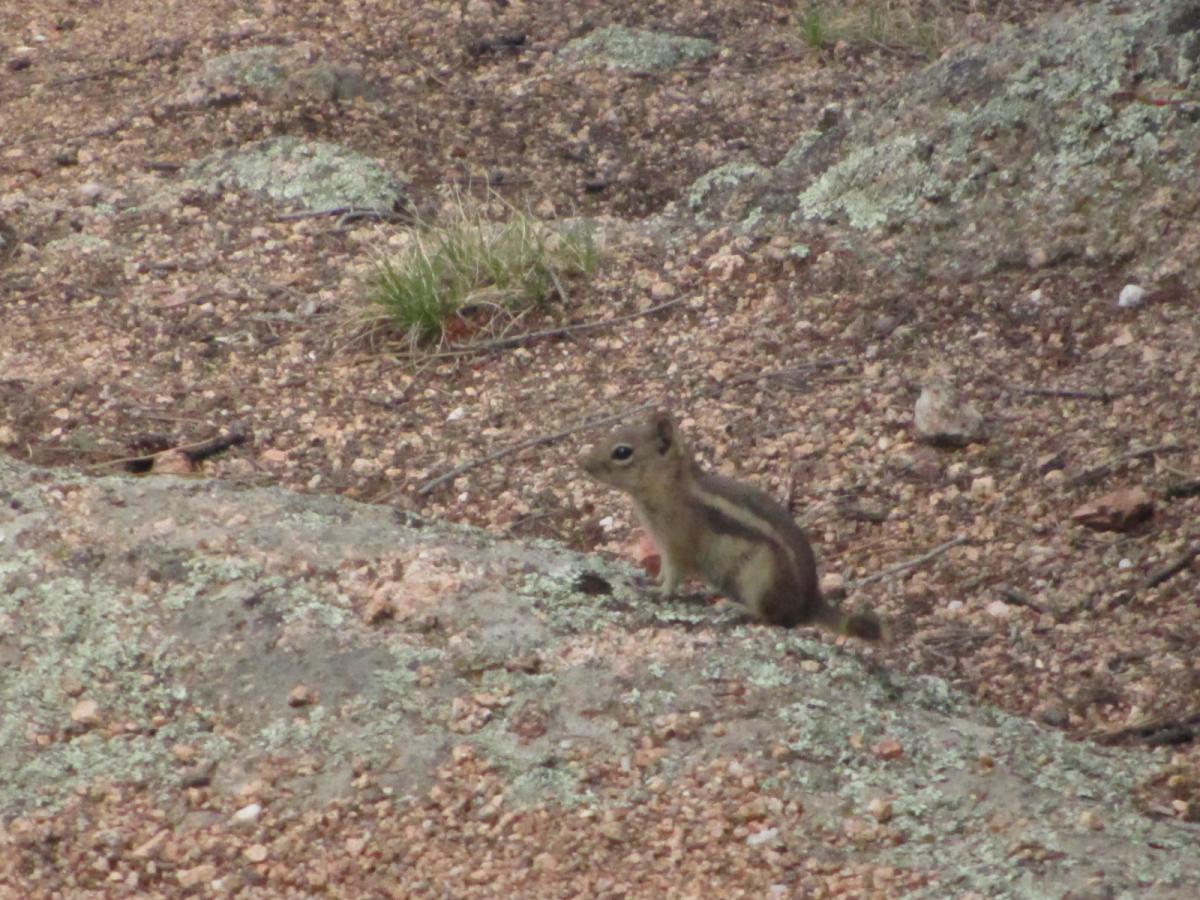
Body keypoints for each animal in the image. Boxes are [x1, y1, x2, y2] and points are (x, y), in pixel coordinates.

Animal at [581, 410, 883, 641]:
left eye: (622, 452)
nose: (582, 464)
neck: (673, 489)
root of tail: (809, 602)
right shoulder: (663, 545)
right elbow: (664, 569)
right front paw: (648, 580)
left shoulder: (678, 545)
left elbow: (675, 576)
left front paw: (658, 591)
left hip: (759, 578)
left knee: (771, 615)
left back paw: (735, 608)